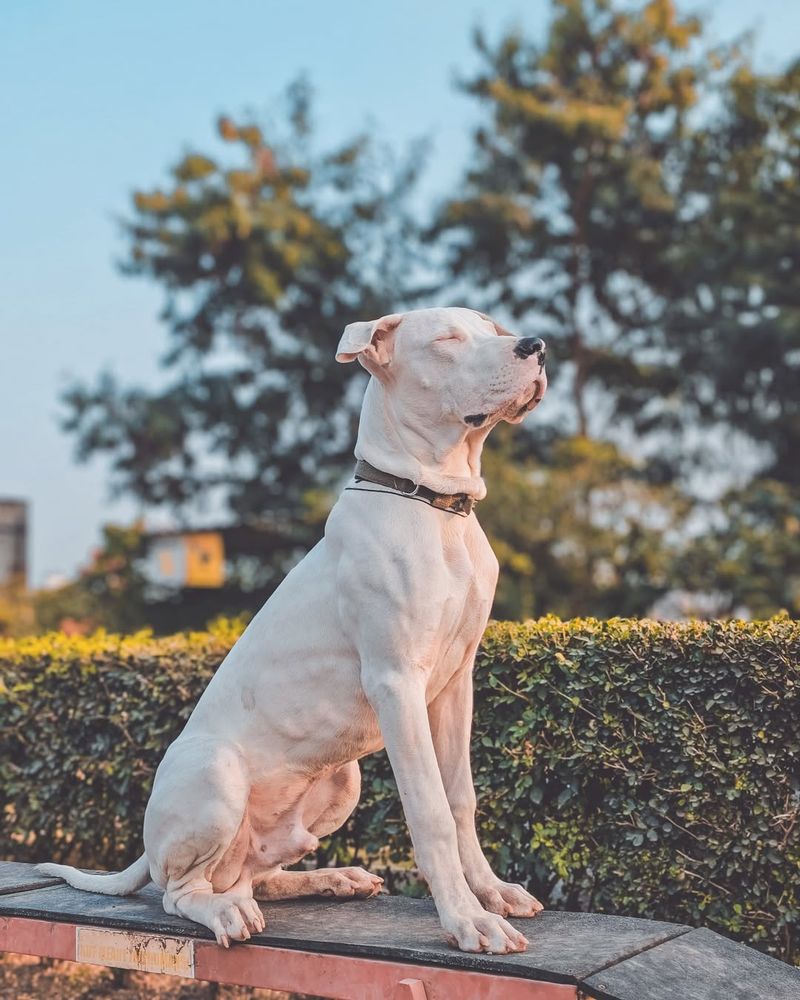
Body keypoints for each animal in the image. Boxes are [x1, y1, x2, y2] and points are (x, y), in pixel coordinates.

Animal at [40, 308, 548, 956]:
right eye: (448, 339)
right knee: (182, 892)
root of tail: (148, 848)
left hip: (341, 782)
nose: (535, 345)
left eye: (492, 328)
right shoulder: (397, 683)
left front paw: (493, 894)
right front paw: (467, 920)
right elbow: (430, 809)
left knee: (254, 875)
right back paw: (226, 912)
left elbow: (461, 798)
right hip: (216, 773)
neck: (433, 507)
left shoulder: (456, 683)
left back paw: (331, 879)